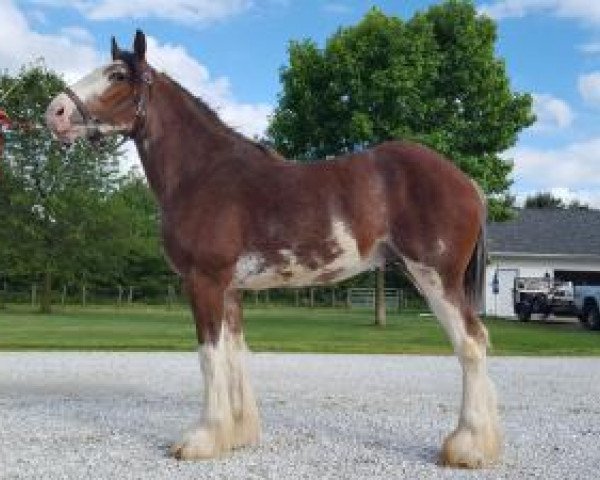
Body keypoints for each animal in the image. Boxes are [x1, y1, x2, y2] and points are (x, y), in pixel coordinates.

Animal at [43, 30, 502, 468]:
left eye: (118, 75)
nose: (55, 113)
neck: (202, 174)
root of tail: (466, 182)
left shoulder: (204, 282)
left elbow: (209, 356)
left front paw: (202, 440)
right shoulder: (229, 289)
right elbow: (234, 354)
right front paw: (237, 433)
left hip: (435, 277)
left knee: (471, 343)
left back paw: (468, 447)